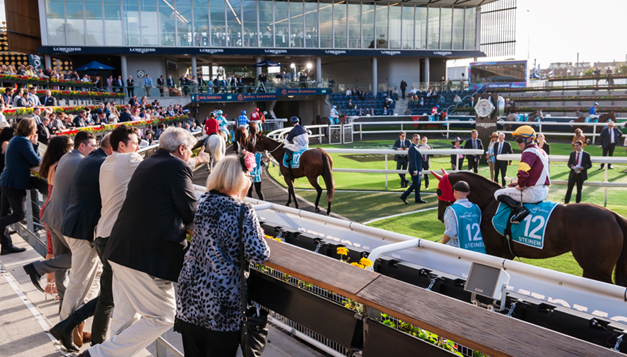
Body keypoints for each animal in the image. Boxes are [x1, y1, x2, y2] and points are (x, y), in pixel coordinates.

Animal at [432, 170, 627, 286]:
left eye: (438, 191)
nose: (440, 216)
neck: (489, 203)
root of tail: (614, 216)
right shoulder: (506, 253)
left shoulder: (494, 251)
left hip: (595, 270)